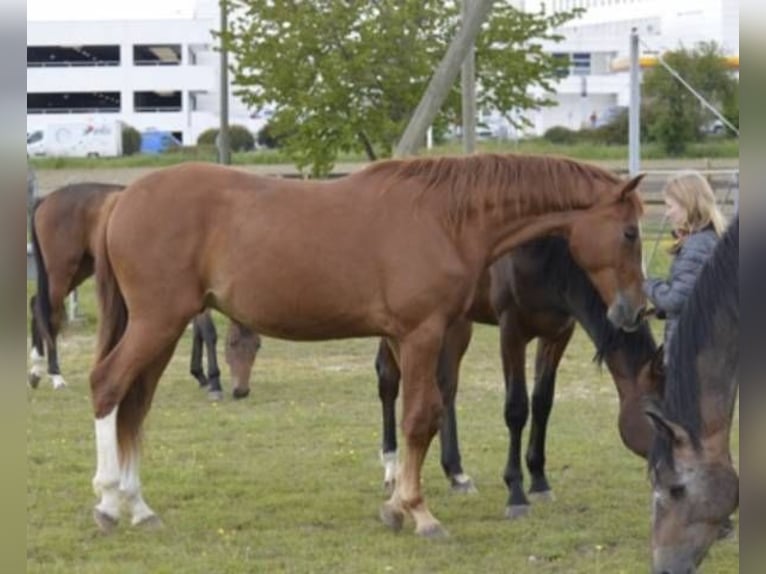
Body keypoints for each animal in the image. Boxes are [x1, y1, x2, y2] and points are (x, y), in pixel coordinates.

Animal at [27, 183, 255, 400]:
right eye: (233, 344)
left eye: (257, 346)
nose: (241, 391)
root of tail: (45, 200)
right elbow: (208, 333)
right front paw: (214, 382)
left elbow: (198, 333)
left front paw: (200, 375)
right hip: (60, 273)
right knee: (50, 316)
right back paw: (55, 375)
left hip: (77, 271)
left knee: (37, 305)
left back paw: (36, 371)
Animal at [376, 236, 664, 516]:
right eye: (654, 416)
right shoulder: (511, 330)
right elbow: (516, 408)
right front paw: (516, 492)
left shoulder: (558, 332)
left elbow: (542, 402)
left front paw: (539, 480)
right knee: (390, 380)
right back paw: (392, 468)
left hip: (456, 323)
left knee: (446, 387)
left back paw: (456, 473)